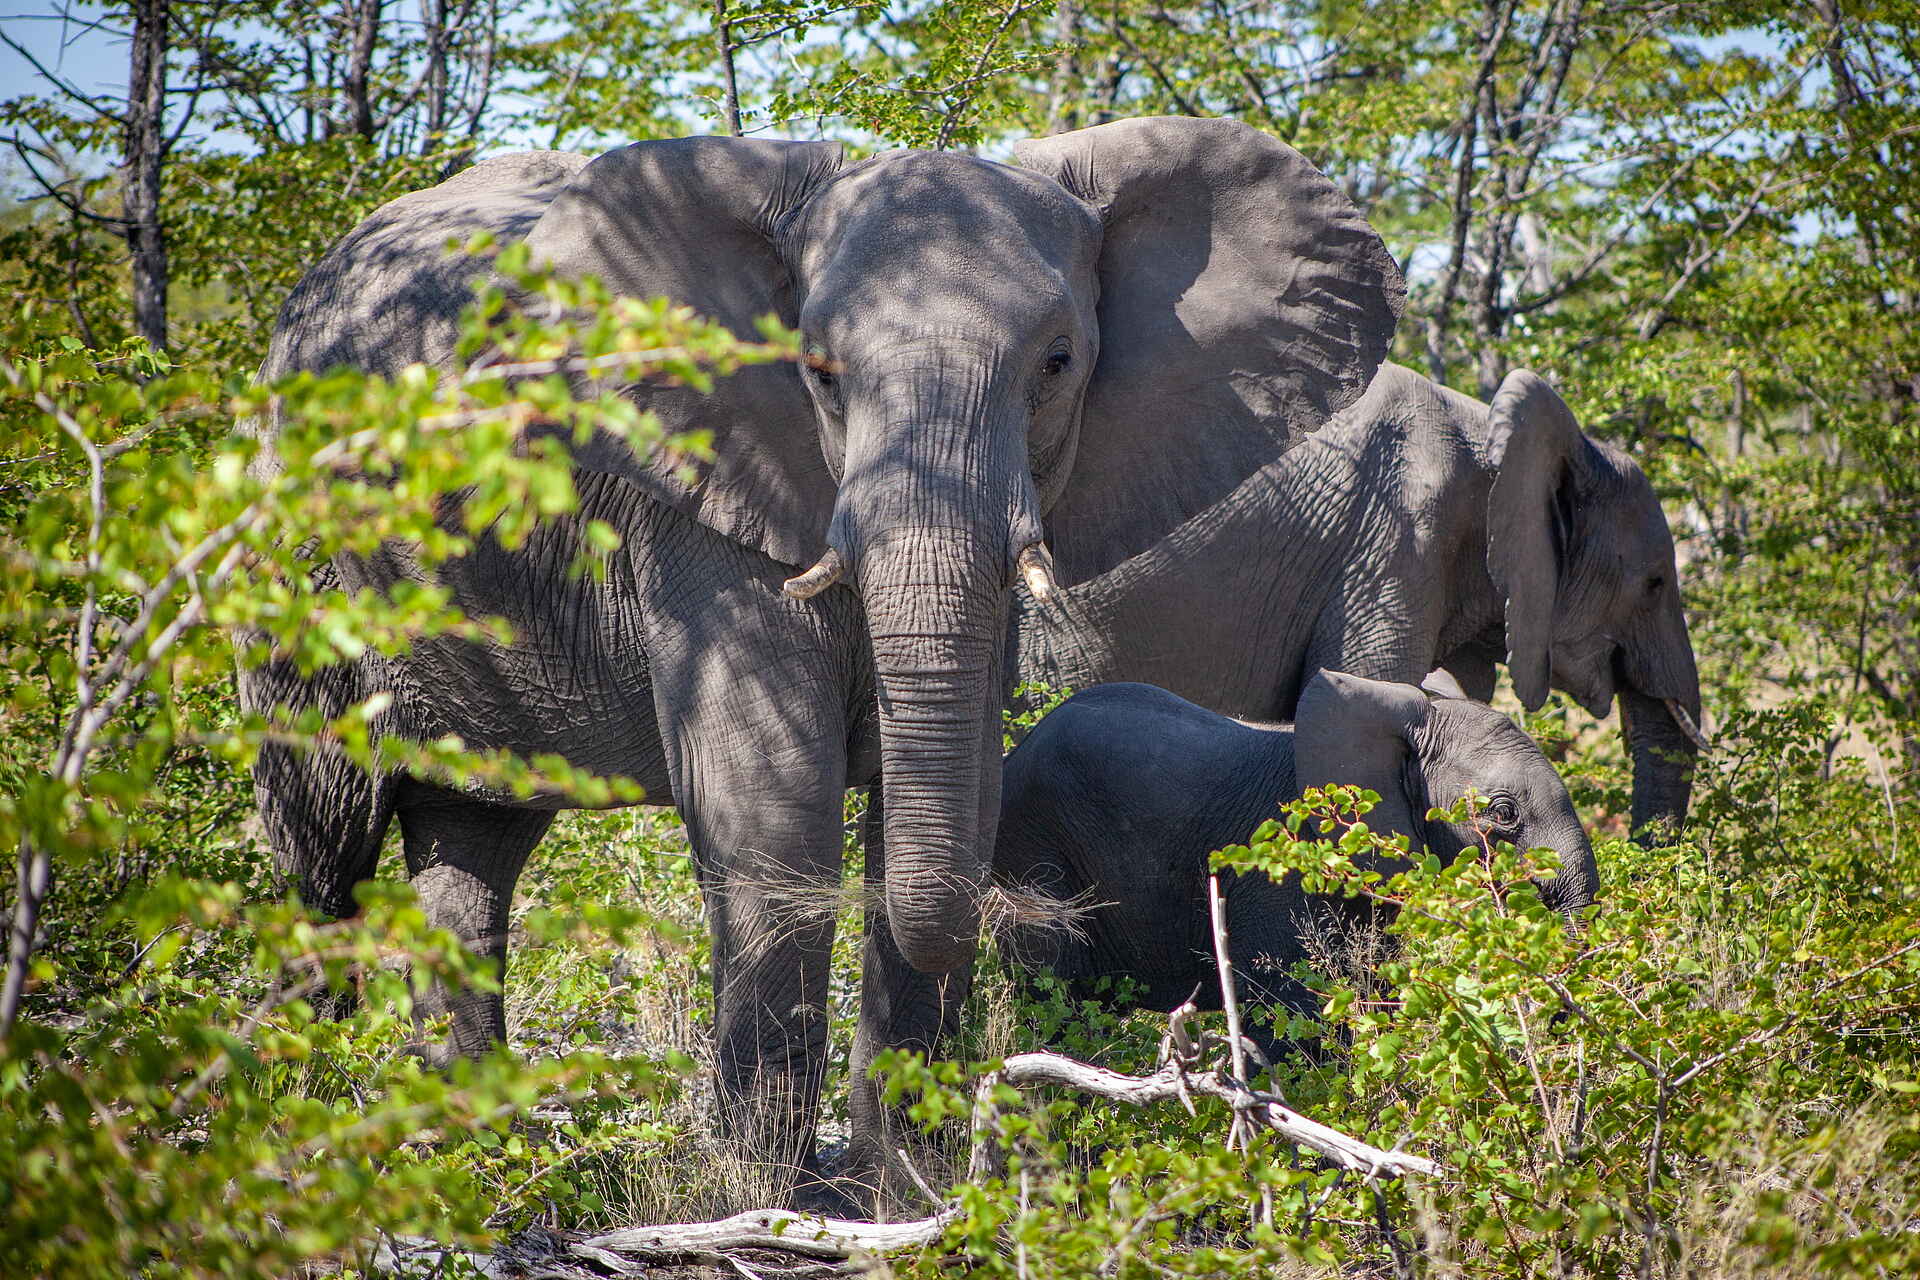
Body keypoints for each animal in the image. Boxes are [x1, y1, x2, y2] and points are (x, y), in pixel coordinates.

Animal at [237, 117, 1405, 1201]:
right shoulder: (701, 493)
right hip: (295, 556)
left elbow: (945, 786)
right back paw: (305, 1134)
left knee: (469, 853)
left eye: (1059, 364)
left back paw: (474, 1153)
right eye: (822, 375)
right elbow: (772, 805)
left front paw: (900, 1196)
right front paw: (766, 1196)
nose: (1051, 921)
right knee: (324, 849)